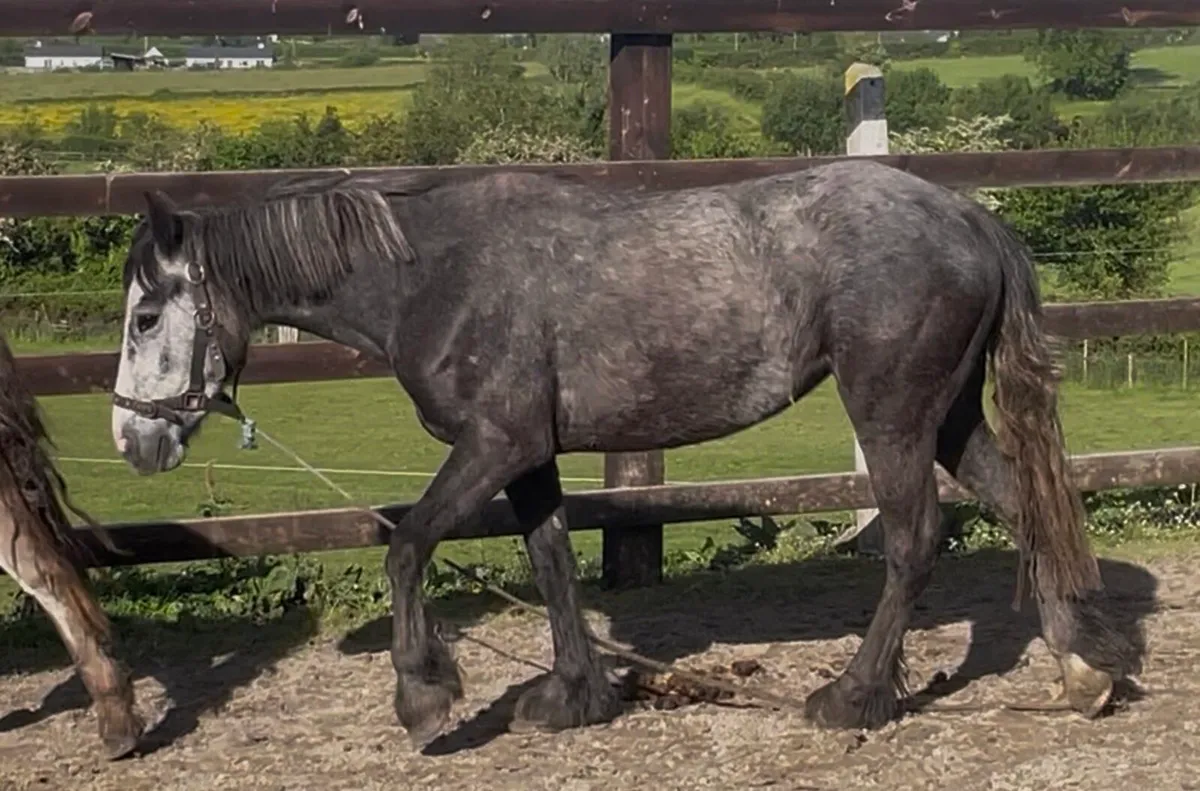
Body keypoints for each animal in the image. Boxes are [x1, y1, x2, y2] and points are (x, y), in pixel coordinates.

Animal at [108, 160, 1135, 749]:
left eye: (146, 316)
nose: (131, 438)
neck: (434, 274)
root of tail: (970, 218)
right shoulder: (529, 454)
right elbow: (553, 562)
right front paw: (574, 695)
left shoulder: (494, 443)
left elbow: (407, 545)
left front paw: (425, 694)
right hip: (947, 415)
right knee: (1023, 505)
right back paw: (1082, 671)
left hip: (892, 417)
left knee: (916, 541)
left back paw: (854, 697)